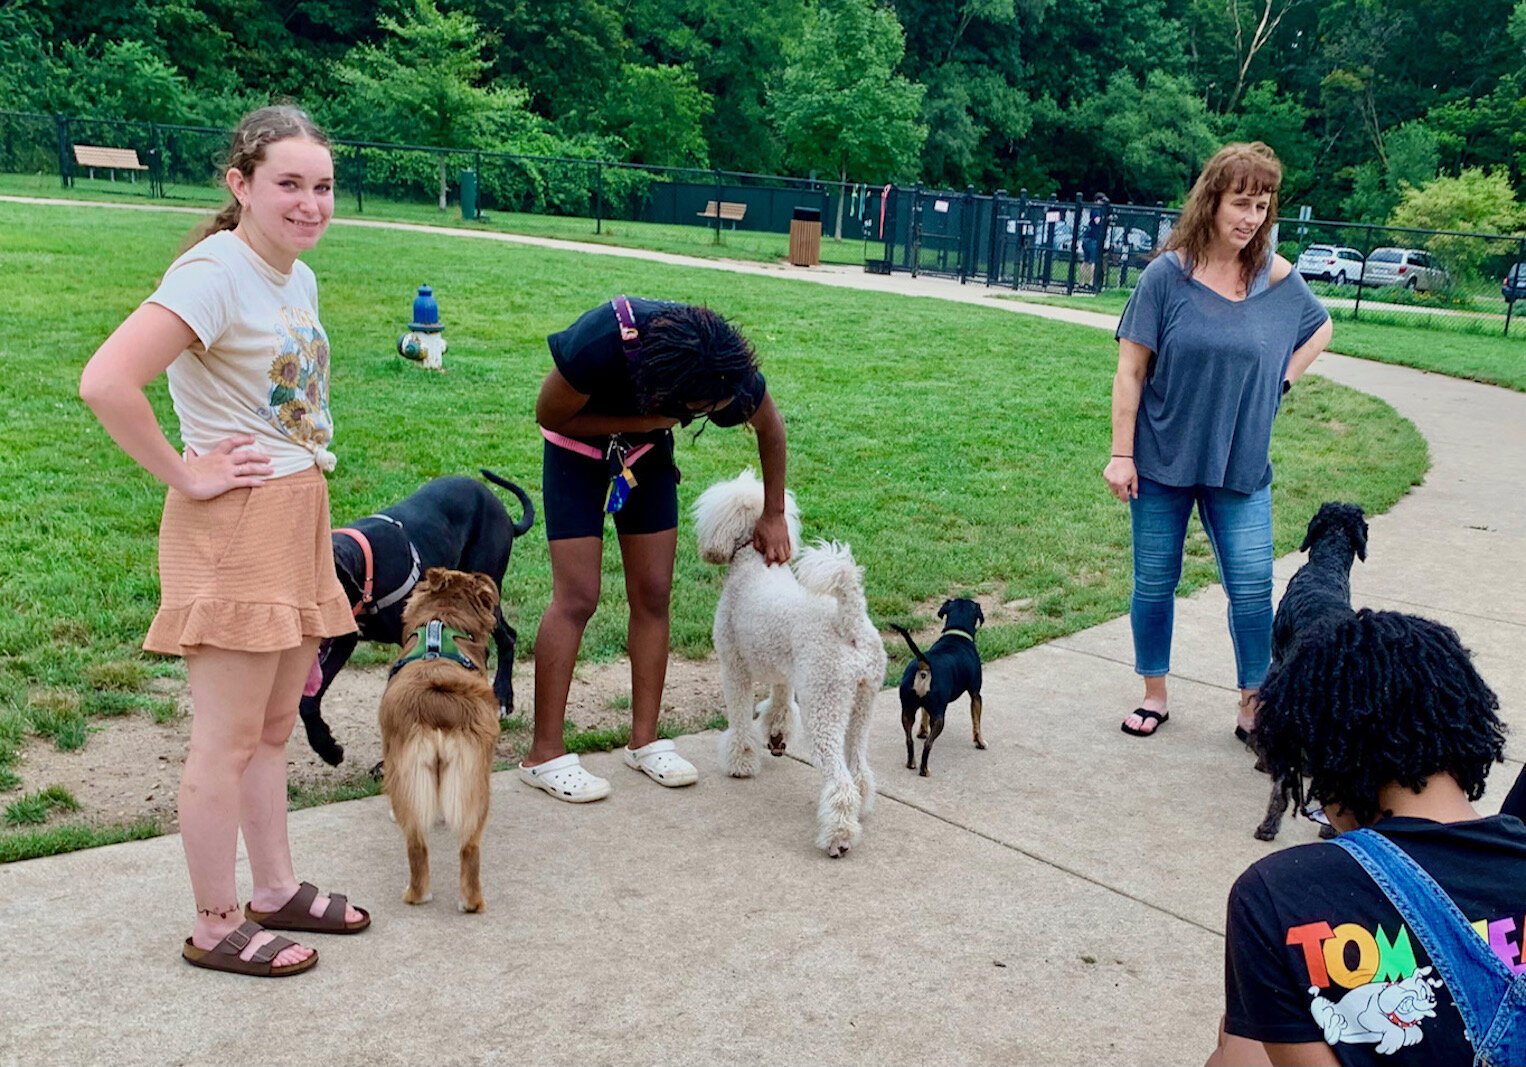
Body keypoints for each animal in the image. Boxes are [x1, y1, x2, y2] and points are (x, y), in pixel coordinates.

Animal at [378, 567, 497, 909]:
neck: (441, 626)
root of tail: (439, 704)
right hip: (475, 781)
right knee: (468, 847)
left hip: (410, 777)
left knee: (418, 845)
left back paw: (418, 895)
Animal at [891, 601, 982, 775]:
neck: (957, 635)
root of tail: (924, 665)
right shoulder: (976, 695)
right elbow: (977, 724)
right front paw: (980, 743)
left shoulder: (925, 708)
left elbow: (923, 716)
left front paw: (922, 732)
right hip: (939, 716)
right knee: (928, 744)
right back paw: (924, 770)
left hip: (907, 711)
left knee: (909, 740)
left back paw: (911, 763)